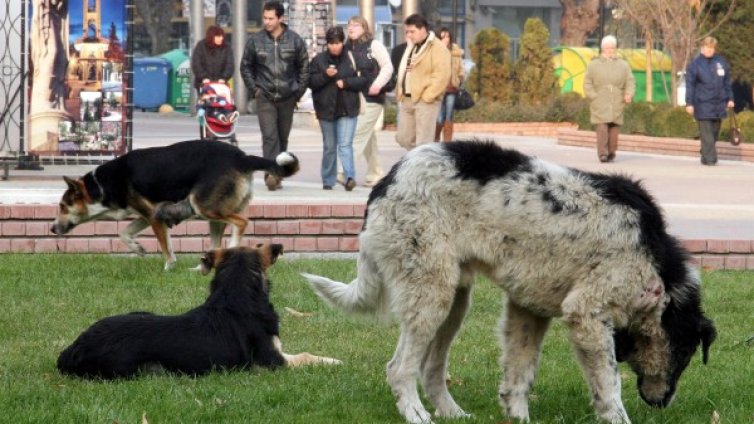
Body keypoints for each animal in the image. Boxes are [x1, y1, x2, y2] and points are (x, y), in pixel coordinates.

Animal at [47, 141, 296, 270]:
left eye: (62, 206)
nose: (51, 228)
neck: (100, 186)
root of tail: (243, 157)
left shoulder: (153, 216)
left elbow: (166, 247)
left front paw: (168, 267)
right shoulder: (146, 214)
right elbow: (124, 233)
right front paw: (137, 248)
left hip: (204, 206)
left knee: (241, 222)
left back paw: (233, 247)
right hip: (212, 216)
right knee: (216, 243)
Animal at [57, 243, 340, 380]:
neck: (234, 294)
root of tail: (73, 349)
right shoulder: (271, 361)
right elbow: (305, 355)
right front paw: (333, 361)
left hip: (139, 312)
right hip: (151, 369)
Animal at [302, 142, 712, 424]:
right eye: (686, 353)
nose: (663, 404)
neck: (657, 260)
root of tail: (385, 183)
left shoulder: (528, 309)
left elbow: (519, 373)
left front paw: (517, 417)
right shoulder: (586, 314)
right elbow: (610, 384)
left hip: (453, 301)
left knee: (430, 369)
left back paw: (453, 413)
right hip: (430, 294)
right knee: (399, 367)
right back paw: (416, 414)